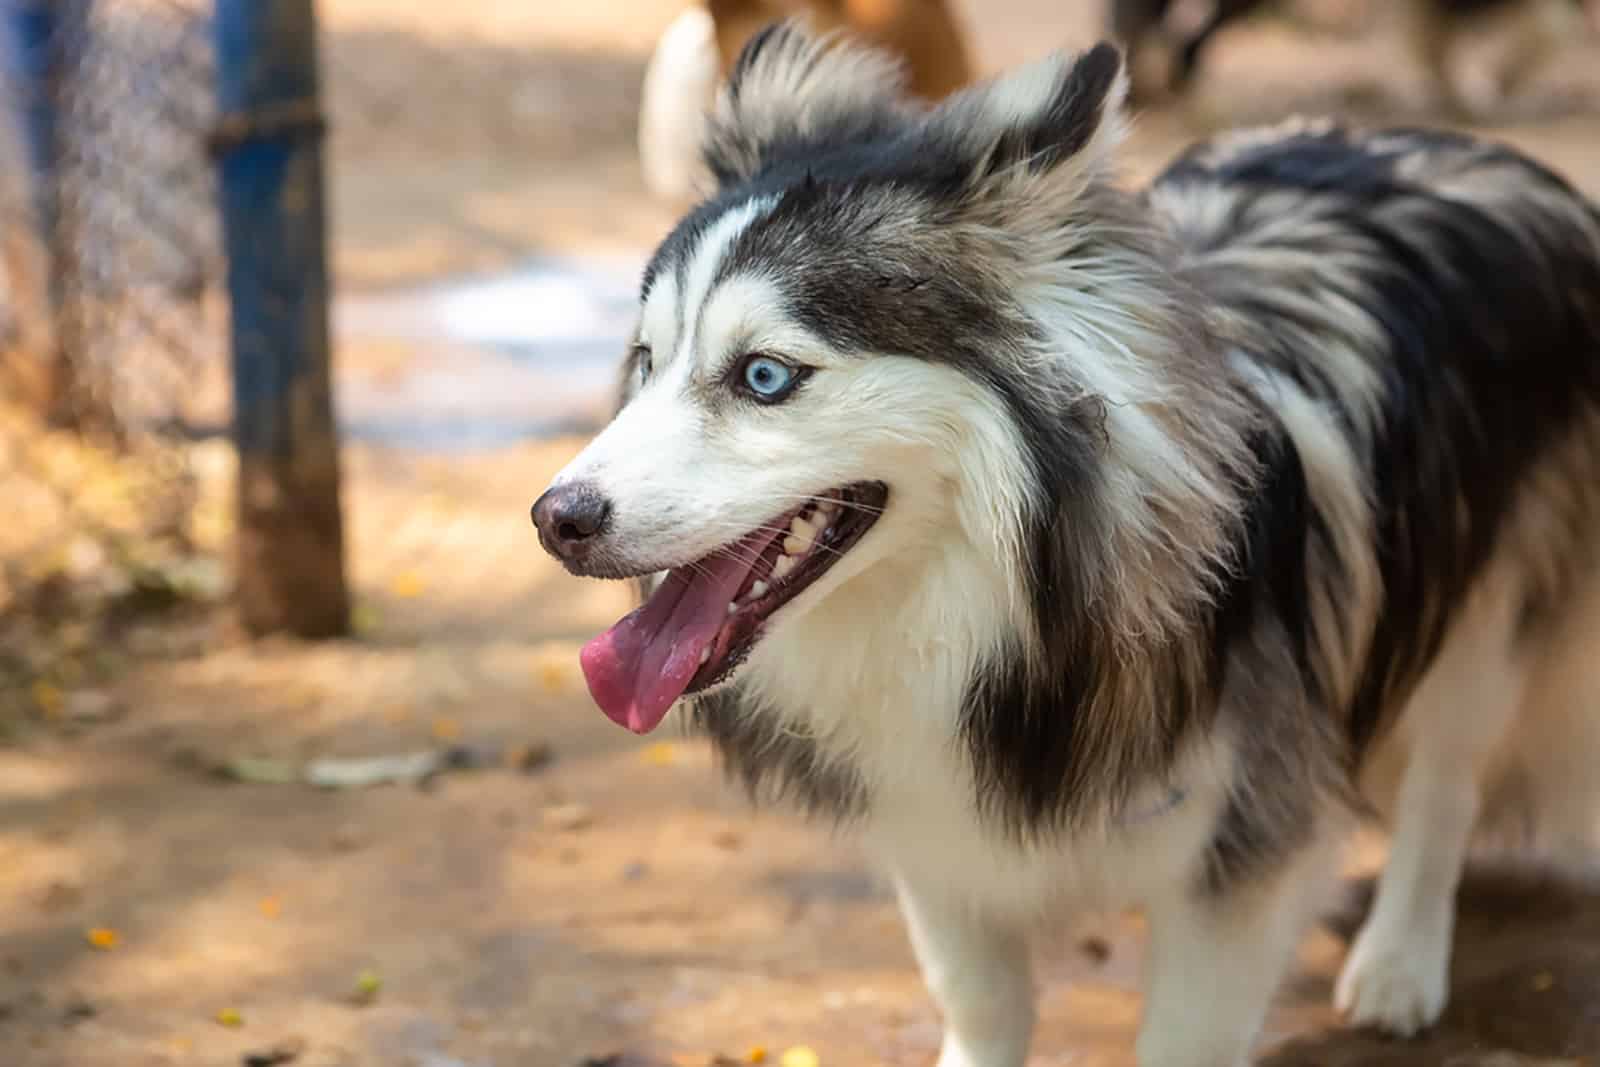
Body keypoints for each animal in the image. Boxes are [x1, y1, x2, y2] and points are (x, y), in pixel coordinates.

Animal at [537, 24, 1600, 1067]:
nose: (557, 520)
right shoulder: (938, 831)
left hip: (1483, 620)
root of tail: (1469, 146)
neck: (1010, 605)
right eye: (645, 361)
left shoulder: (1238, 855)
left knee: (1444, 787)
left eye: (764, 376)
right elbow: (982, 1003)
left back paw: (1399, 962)